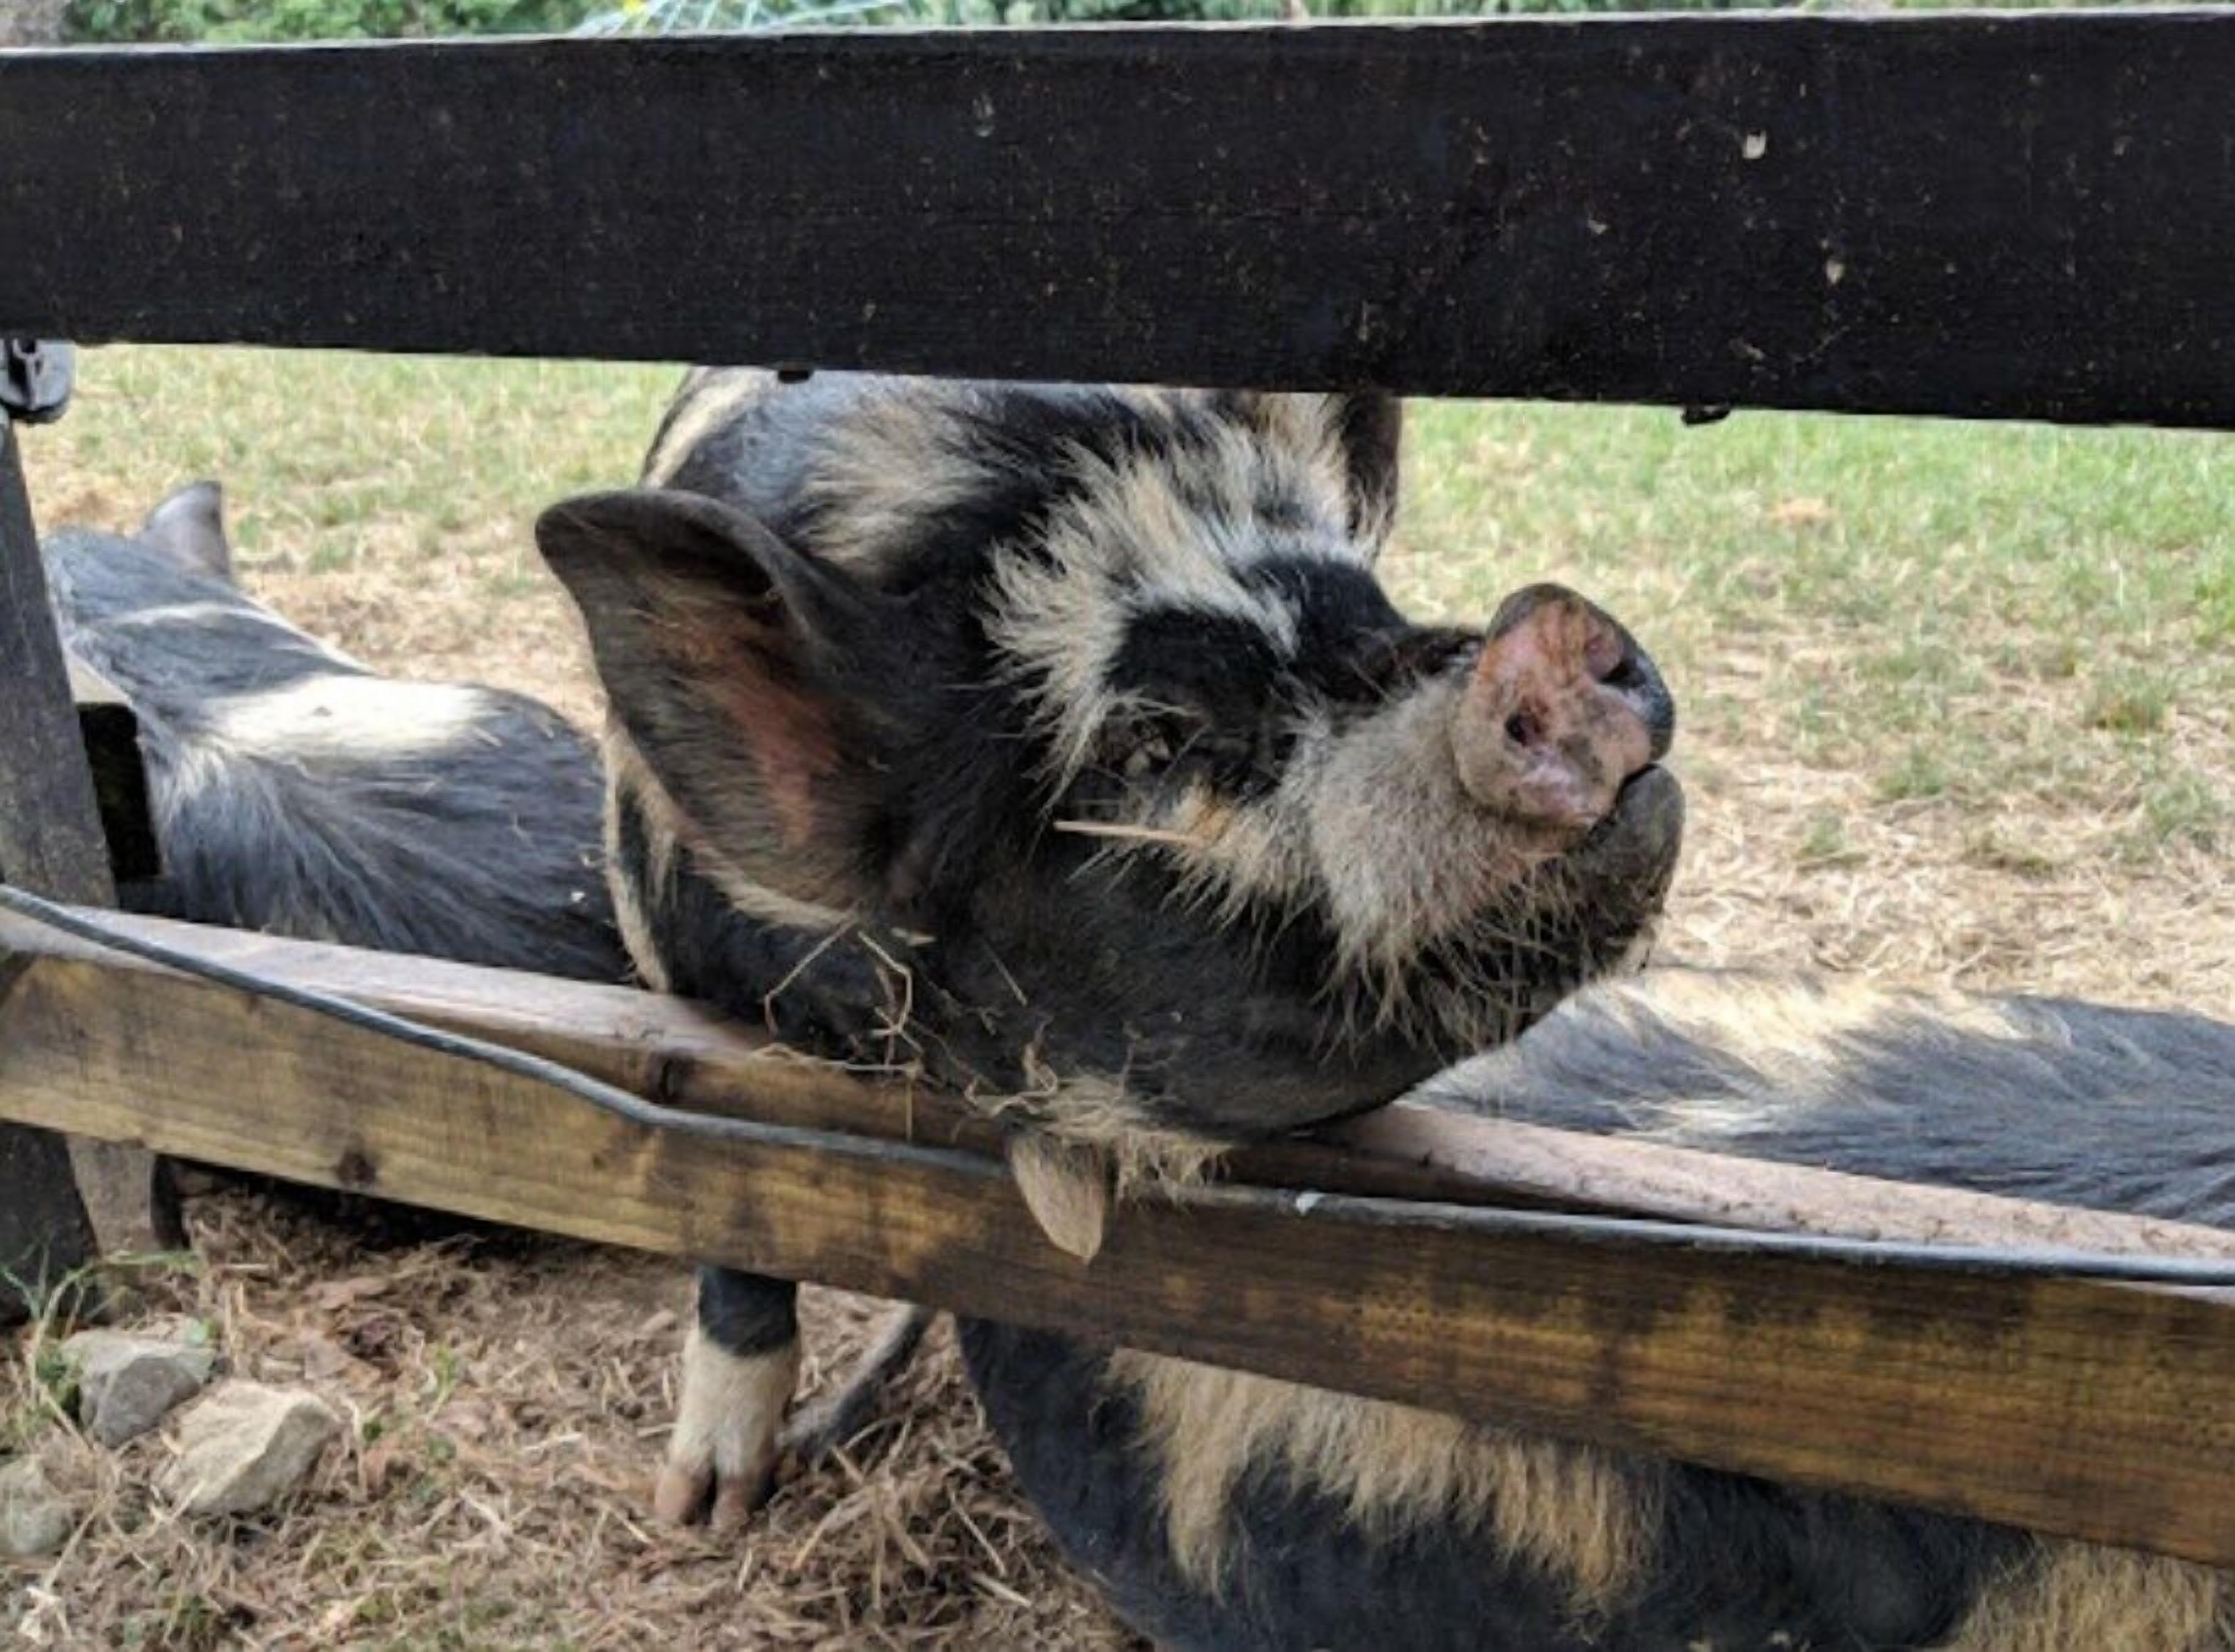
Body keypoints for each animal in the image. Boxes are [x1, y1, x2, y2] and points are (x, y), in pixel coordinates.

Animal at [536, 370, 2235, 1649]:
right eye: (1150, 739)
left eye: (1365, 598)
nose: (1542, 628)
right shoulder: (680, 978)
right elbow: (731, 1188)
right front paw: (705, 1509)